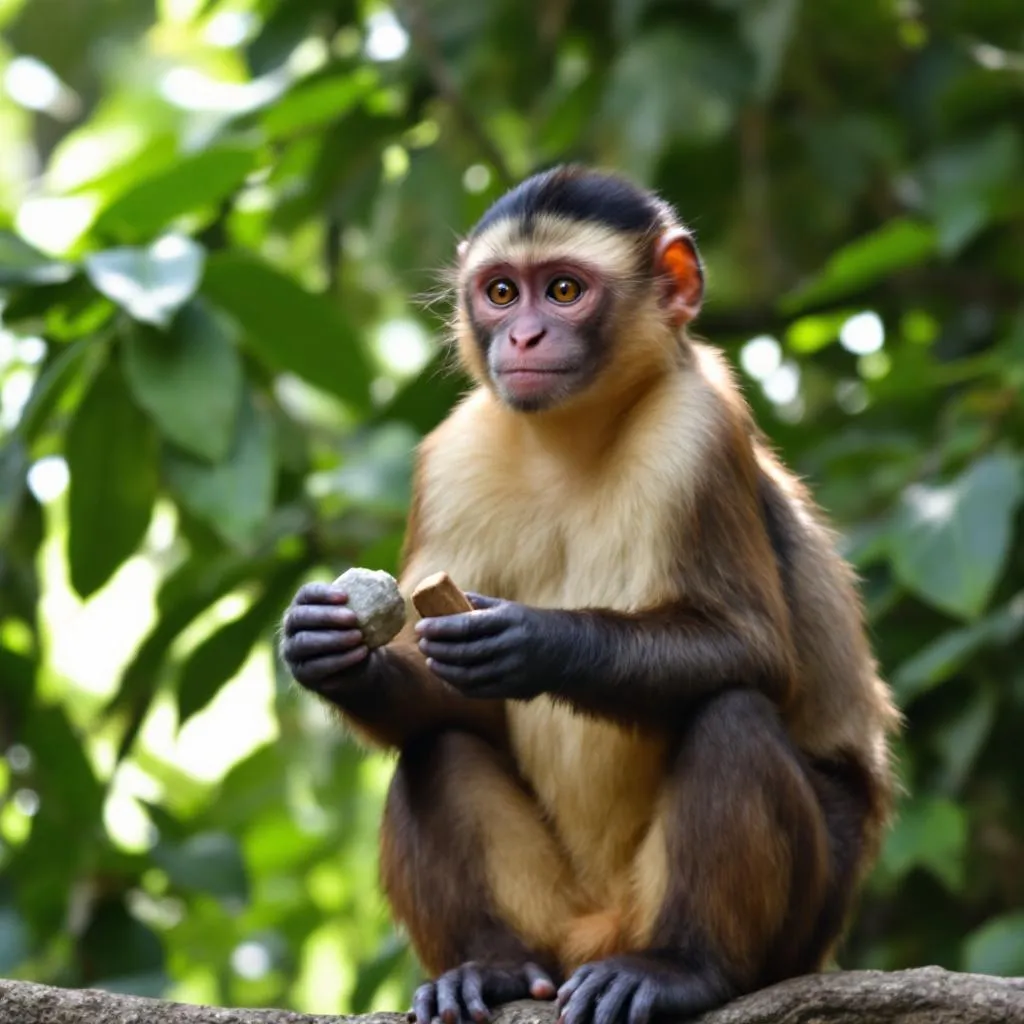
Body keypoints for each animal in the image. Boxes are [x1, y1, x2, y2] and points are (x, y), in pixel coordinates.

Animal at [280, 165, 900, 1024]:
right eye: (502, 292)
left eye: (565, 290)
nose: (523, 338)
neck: (573, 438)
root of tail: (596, 935)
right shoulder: (455, 456)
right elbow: (451, 706)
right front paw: (330, 650)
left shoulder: (697, 432)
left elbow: (755, 651)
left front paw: (536, 642)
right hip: (556, 917)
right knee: (435, 748)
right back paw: (492, 969)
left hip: (803, 912)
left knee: (732, 716)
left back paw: (682, 969)